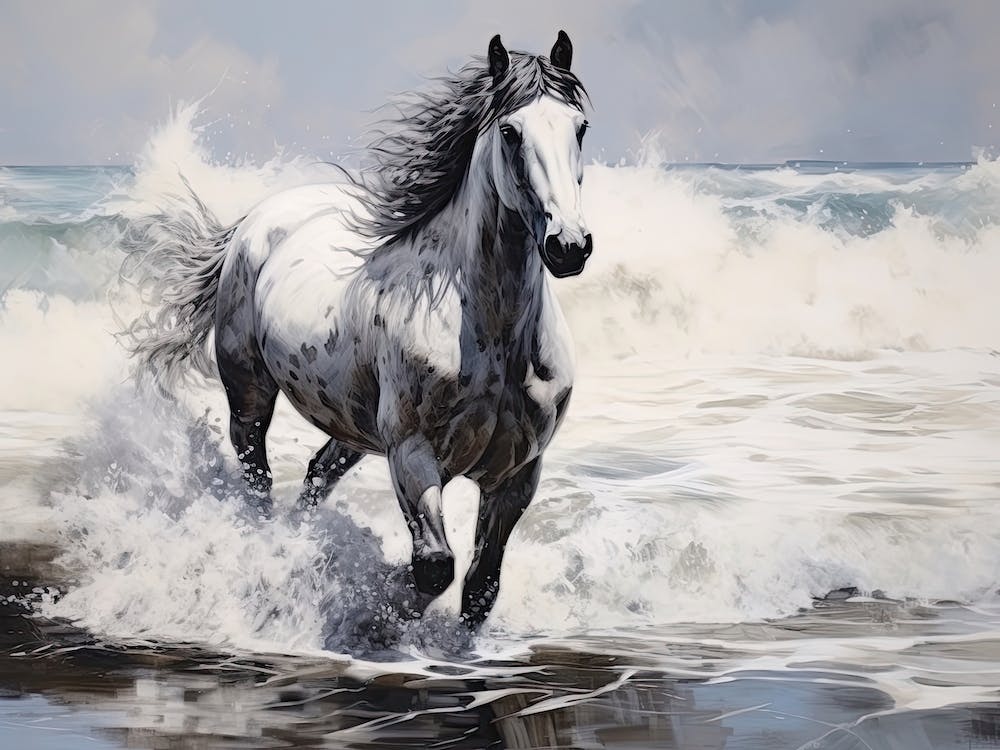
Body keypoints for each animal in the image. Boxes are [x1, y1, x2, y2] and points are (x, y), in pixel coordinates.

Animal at [124, 31, 593, 629]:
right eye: (510, 133)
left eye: (579, 128)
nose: (569, 245)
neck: (491, 335)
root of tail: (255, 220)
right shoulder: (412, 453)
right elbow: (433, 567)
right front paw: (375, 609)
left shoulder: (517, 476)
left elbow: (479, 587)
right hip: (251, 393)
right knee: (256, 473)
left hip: (354, 426)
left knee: (317, 473)